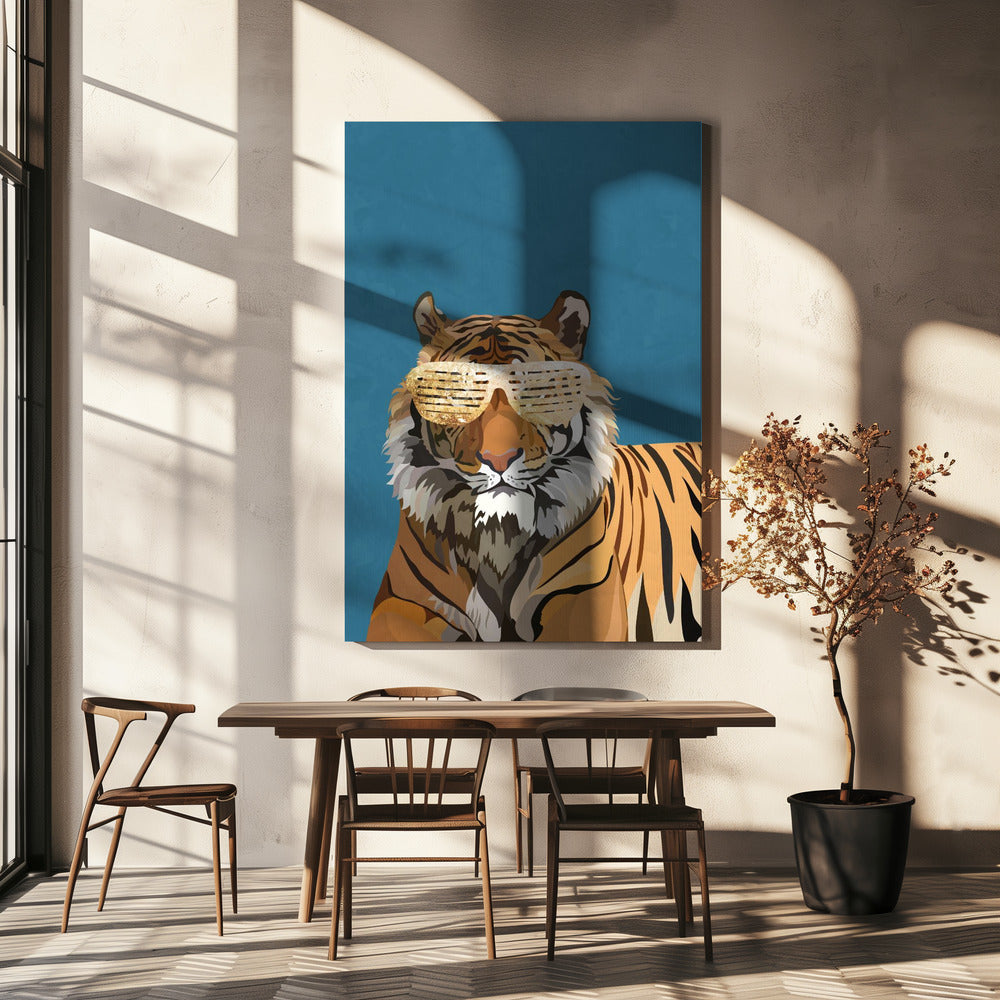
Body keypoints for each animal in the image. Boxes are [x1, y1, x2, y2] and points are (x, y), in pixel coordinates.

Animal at [366, 290, 703, 642]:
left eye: (533, 392)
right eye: (467, 393)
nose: (498, 460)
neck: (498, 535)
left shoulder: (582, 597)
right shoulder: (400, 599)